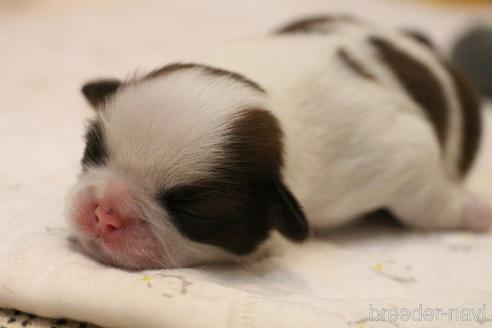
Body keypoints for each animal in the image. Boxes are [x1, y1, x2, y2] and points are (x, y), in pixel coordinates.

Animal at [66, 16, 492, 270]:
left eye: (193, 214)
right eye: (91, 152)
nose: (104, 212)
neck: (269, 98)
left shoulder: (399, 154)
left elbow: (429, 206)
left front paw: (477, 212)